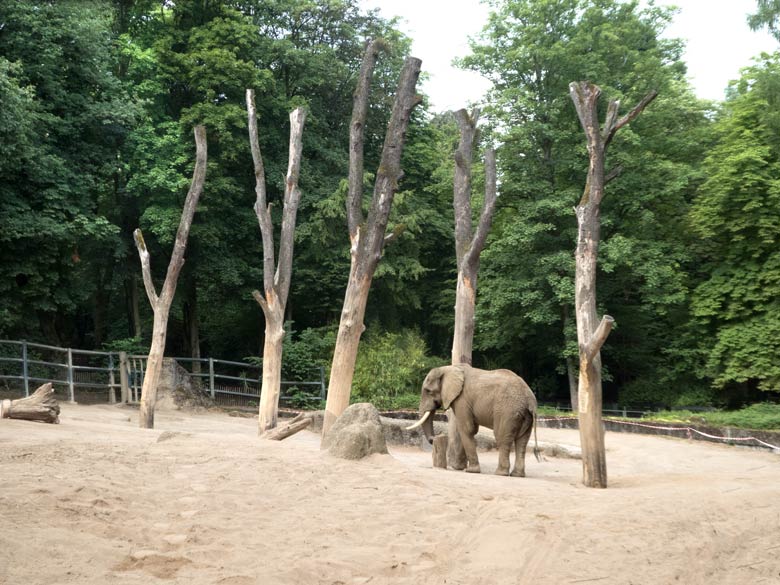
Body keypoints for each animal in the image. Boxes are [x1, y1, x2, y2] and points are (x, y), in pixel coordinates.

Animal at [406, 364, 540, 474]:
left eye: (428, 391)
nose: (433, 439)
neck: (448, 368)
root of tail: (530, 400)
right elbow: (469, 429)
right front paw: (458, 468)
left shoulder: (462, 400)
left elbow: (466, 429)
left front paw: (470, 470)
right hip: (524, 416)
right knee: (522, 441)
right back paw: (517, 474)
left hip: (507, 411)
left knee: (502, 438)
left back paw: (500, 473)